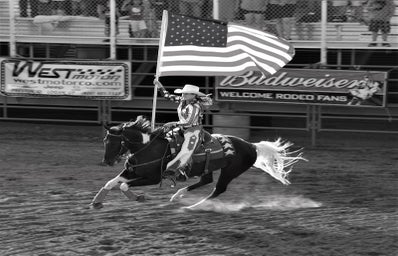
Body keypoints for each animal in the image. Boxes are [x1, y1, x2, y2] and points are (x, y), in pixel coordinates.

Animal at [92, 115, 304, 209]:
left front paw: (138, 197)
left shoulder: (153, 177)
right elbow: (111, 183)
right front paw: (96, 202)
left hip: (230, 171)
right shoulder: (132, 172)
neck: (148, 148)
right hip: (209, 168)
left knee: (218, 189)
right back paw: (177, 196)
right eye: (104, 140)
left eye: (114, 142)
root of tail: (250, 145)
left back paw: (192, 206)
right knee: (206, 181)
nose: (106, 161)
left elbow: (123, 186)